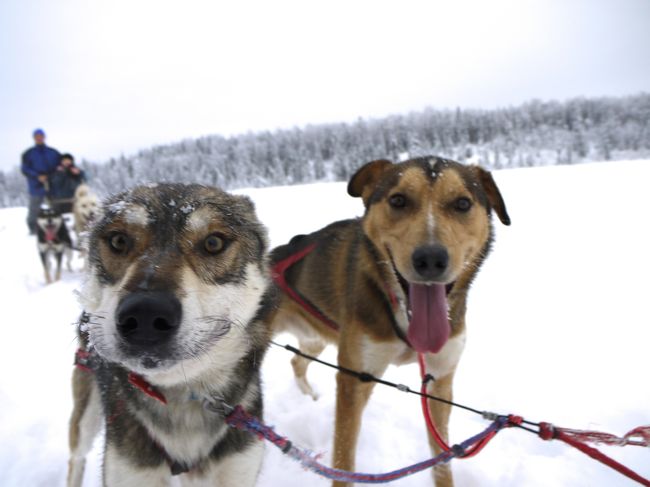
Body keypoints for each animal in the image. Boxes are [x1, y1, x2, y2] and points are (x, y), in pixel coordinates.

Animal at [270, 156, 512, 487]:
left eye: (462, 203)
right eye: (398, 200)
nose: (431, 259)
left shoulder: (440, 381)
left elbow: (442, 461)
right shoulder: (355, 379)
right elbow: (344, 461)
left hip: (317, 337)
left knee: (297, 361)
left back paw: (310, 396)